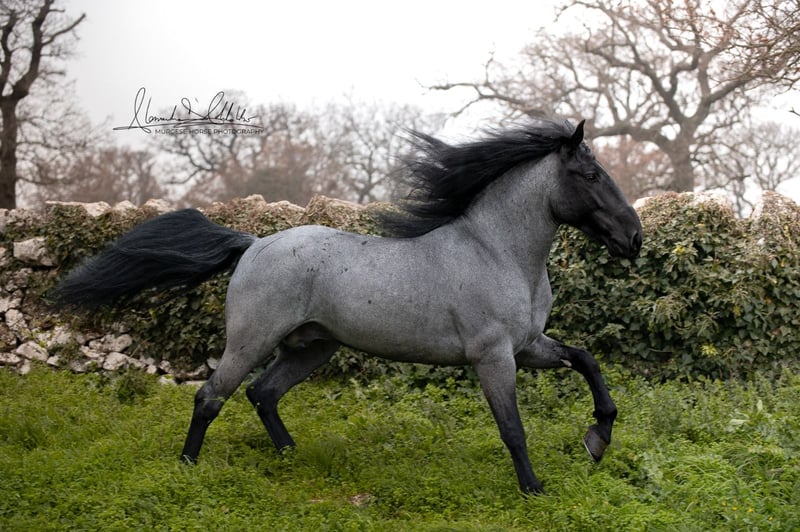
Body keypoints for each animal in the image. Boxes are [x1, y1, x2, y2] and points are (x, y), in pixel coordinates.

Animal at [55, 119, 642, 494]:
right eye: (591, 176)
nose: (634, 238)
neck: (494, 250)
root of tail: (254, 244)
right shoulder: (493, 357)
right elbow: (513, 428)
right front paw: (535, 489)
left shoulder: (529, 347)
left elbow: (587, 361)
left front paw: (597, 440)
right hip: (251, 340)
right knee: (211, 396)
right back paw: (186, 469)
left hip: (312, 348)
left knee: (261, 394)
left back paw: (292, 456)